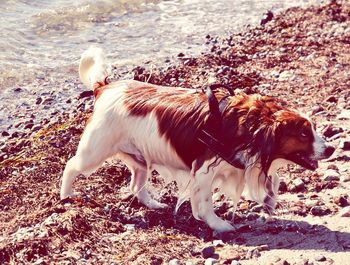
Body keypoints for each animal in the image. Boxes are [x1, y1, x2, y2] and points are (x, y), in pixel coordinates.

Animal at [60, 47, 334, 231]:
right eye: (303, 133)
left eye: (312, 128)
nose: (331, 149)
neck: (248, 124)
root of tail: (104, 87)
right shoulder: (203, 171)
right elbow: (206, 202)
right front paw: (218, 224)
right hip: (94, 152)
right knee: (71, 166)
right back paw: (66, 195)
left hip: (139, 160)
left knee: (136, 184)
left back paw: (154, 204)